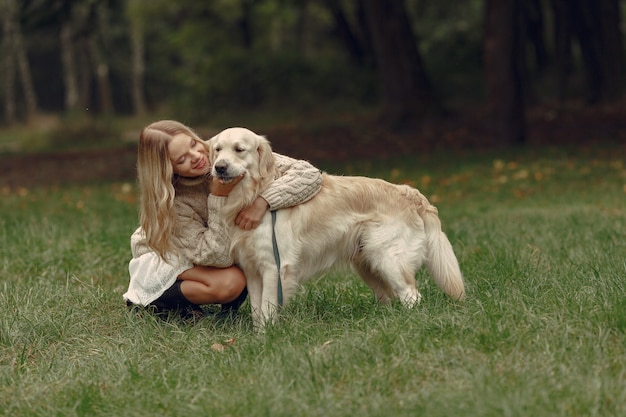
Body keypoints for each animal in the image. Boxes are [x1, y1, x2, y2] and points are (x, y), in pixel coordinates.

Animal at [208, 127, 464, 328]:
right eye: (218, 150)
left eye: (239, 149)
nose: (219, 167)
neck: (252, 194)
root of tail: (408, 191)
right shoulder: (252, 270)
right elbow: (256, 311)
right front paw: (259, 336)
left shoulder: (274, 266)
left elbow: (268, 308)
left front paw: (268, 337)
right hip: (368, 264)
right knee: (391, 297)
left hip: (389, 259)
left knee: (412, 295)